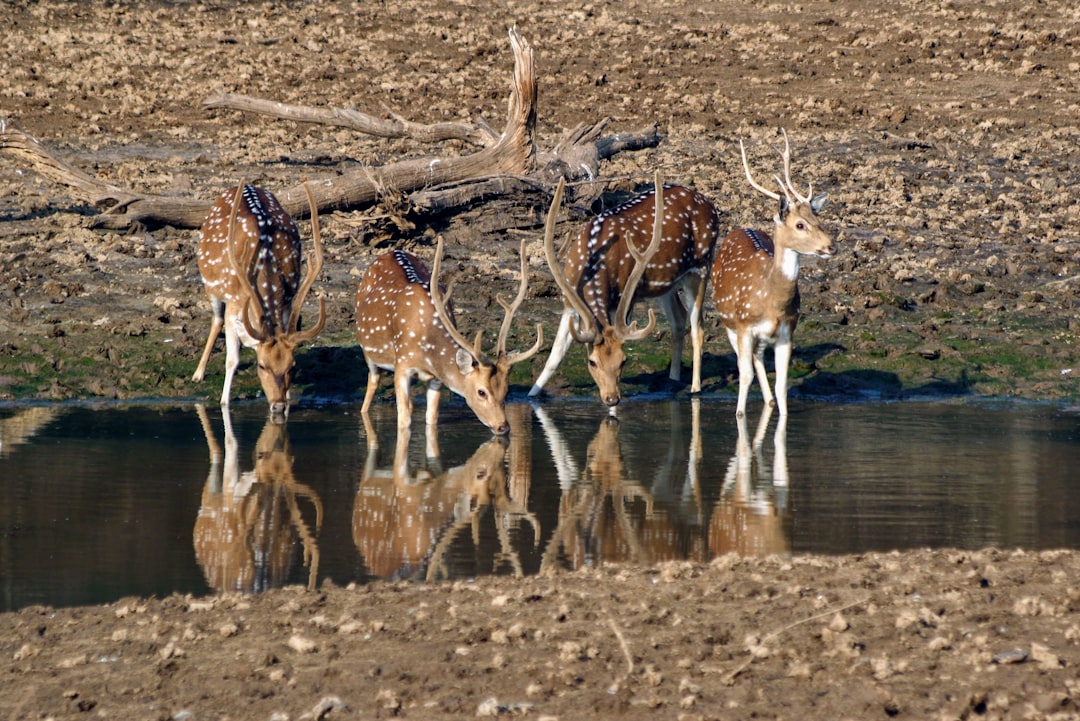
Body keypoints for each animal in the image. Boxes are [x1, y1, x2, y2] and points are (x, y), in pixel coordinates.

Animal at [192, 180, 324, 425]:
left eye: (292, 366)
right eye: (261, 365)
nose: (278, 406)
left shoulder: (288, 302)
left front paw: (289, 399)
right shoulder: (233, 304)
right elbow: (232, 360)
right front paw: (224, 402)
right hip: (210, 286)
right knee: (216, 319)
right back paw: (198, 373)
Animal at [354, 239, 540, 436]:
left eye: (506, 390)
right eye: (481, 392)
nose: (503, 427)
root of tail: (391, 251)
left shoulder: (436, 380)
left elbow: (431, 419)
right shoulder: (402, 365)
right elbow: (404, 421)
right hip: (369, 354)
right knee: (372, 382)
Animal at [529, 172, 721, 407]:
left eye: (623, 361)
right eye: (592, 362)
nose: (612, 398)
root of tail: (711, 205)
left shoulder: (626, 297)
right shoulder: (569, 300)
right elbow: (555, 355)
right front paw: (532, 394)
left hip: (701, 266)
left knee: (698, 327)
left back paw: (695, 389)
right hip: (666, 284)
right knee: (678, 319)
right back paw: (672, 380)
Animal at [712, 131, 838, 416]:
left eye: (818, 220)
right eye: (799, 225)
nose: (831, 246)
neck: (772, 301)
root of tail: (740, 229)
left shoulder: (786, 332)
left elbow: (782, 384)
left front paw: (780, 412)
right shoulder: (744, 326)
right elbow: (744, 375)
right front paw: (739, 414)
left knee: (758, 358)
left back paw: (768, 401)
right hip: (728, 322)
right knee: (745, 362)